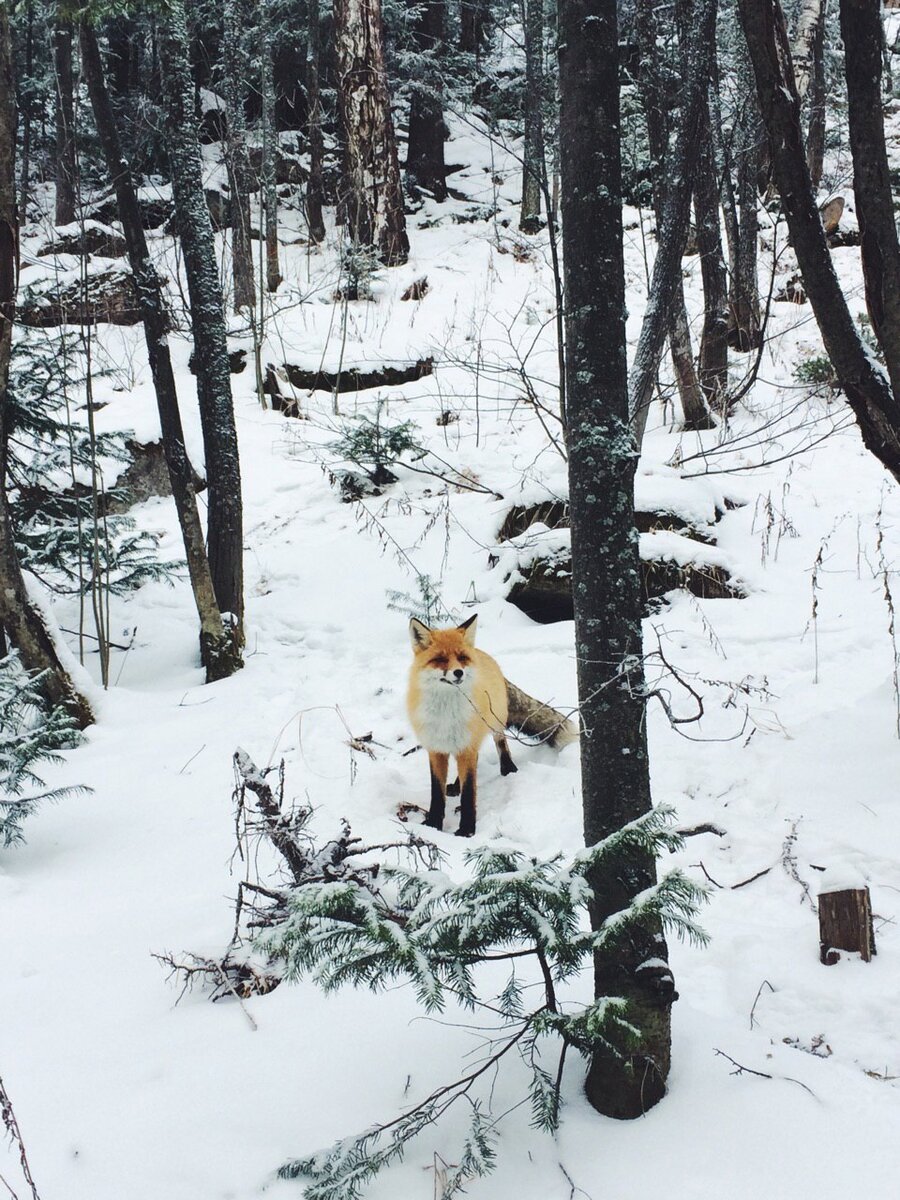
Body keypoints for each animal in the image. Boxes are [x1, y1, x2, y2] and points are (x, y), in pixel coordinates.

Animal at [407, 614, 577, 837]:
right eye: (441, 659)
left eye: (461, 657)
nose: (459, 672)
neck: (447, 714)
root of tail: (485, 655)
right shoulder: (436, 748)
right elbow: (437, 793)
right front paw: (433, 823)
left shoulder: (467, 747)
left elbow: (469, 793)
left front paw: (466, 830)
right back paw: (455, 785)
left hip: (493, 722)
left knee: (501, 741)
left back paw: (508, 767)